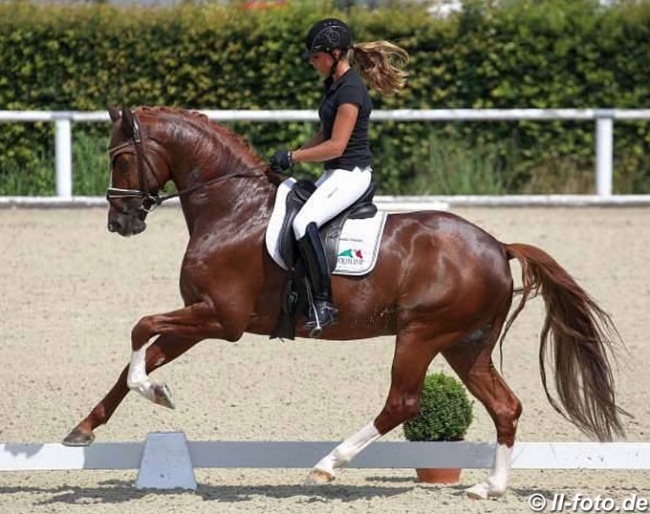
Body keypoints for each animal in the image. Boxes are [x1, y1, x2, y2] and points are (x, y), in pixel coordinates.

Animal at [63, 106, 624, 498]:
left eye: (120, 158)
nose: (120, 222)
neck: (232, 208)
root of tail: (497, 245)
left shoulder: (221, 319)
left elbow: (139, 328)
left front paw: (154, 391)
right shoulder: (201, 318)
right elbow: (138, 356)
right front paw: (86, 428)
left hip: (421, 334)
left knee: (403, 402)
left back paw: (328, 465)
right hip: (466, 344)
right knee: (505, 406)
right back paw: (489, 487)